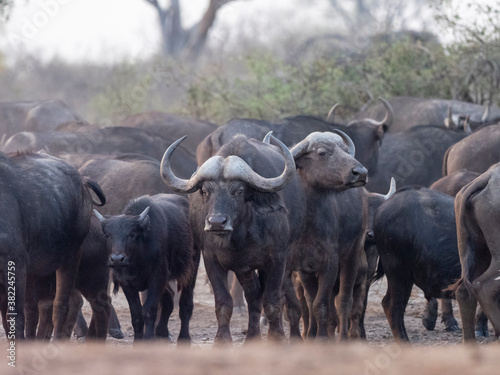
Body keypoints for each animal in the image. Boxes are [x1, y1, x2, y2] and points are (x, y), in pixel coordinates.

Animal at [0, 96, 500, 346]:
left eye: (241, 191)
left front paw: (291, 339)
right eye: (207, 191)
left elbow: (296, 304)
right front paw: (228, 340)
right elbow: (228, 303)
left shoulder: (290, 263)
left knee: (333, 302)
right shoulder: (217, 262)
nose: (217, 223)